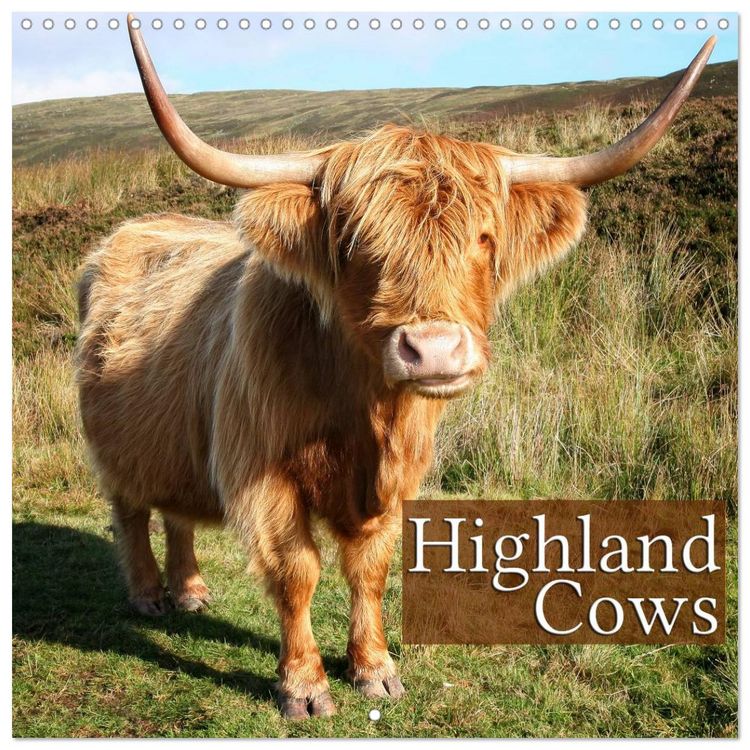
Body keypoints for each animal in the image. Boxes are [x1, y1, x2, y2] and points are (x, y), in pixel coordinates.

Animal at [75, 20, 715, 719]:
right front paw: (304, 685)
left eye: (485, 238)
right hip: (117, 447)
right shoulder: (261, 472)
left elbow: (371, 567)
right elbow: (297, 569)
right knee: (132, 509)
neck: (362, 416)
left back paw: (190, 590)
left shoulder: (397, 479)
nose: (433, 349)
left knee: (177, 509)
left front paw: (375, 668)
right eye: (356, 242)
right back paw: (148, 594)